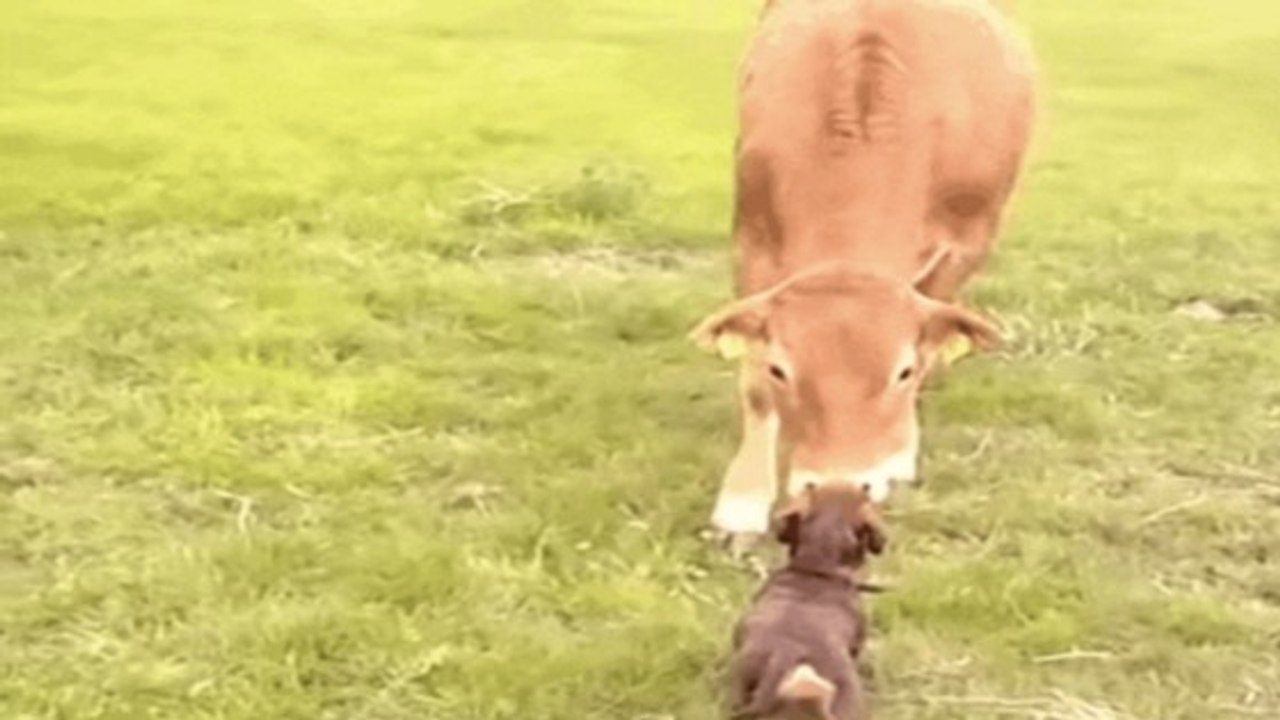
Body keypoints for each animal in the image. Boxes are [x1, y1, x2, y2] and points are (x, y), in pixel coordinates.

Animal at [690, 0, 1035, 544]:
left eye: (902, 371)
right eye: (781, 369)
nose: (839, 484)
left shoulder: (965, 244)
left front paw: (896, 458)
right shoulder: (753, 242)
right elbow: (754, 387)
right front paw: (742, 506)